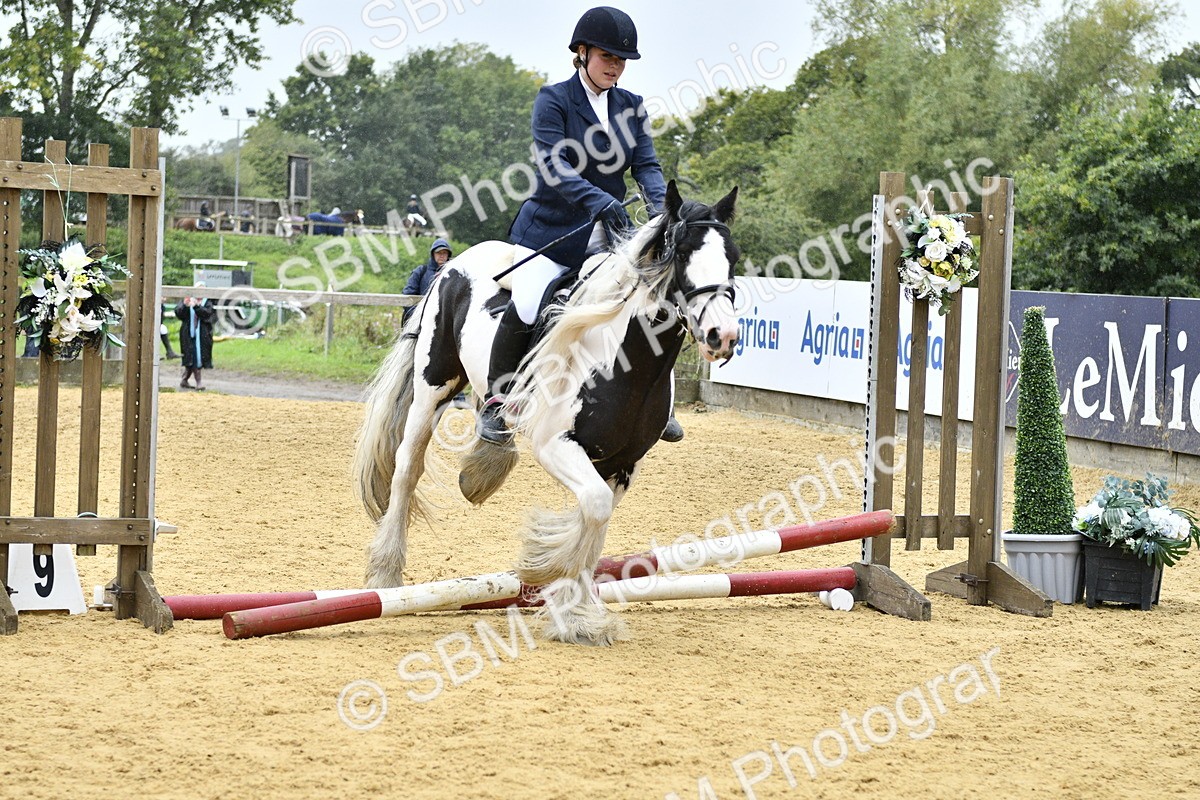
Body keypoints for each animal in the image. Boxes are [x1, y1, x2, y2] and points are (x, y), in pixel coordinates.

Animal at [352, 181, 740, 646]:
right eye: (681, 253)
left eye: (733, 257)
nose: (723, 336)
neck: (625, 358)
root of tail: (458, 263)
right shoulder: (555, 444)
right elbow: (593, 508)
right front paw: (565, 596)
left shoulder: (624, 463)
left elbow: (596, 521)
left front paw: (577, 609)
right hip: (434, 384)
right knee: (407, 468)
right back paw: (386, 574)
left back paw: (483, 467)